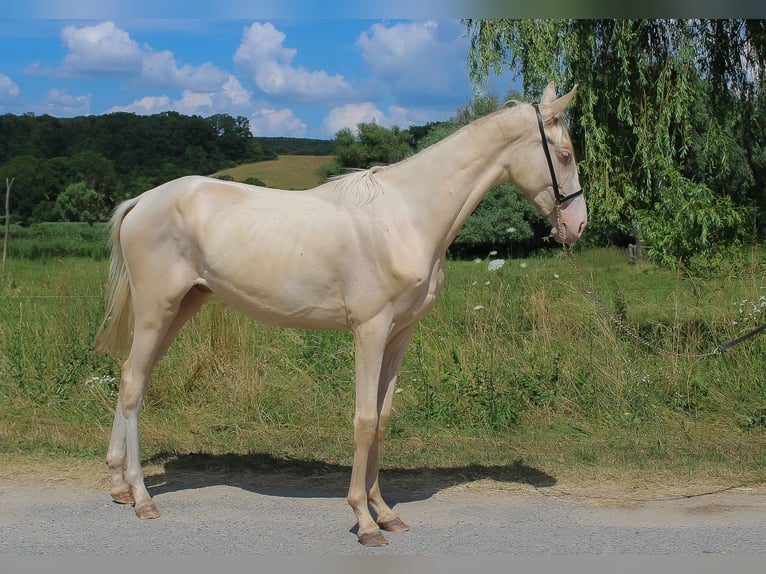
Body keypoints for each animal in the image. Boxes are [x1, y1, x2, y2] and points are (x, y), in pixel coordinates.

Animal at [96, 82, 588, 548]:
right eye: (564, 154)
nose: (578, 226)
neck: (406, 218)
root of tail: (142, 201)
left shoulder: (400, 333)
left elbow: (383, 418)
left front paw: (385, 512)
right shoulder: (370, 331)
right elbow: (364, 420)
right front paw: (364, 521)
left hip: (181, 307)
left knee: (131, 378)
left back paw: (119, 486)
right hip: (156, 309)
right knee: (134, 385)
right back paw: (142, 498)